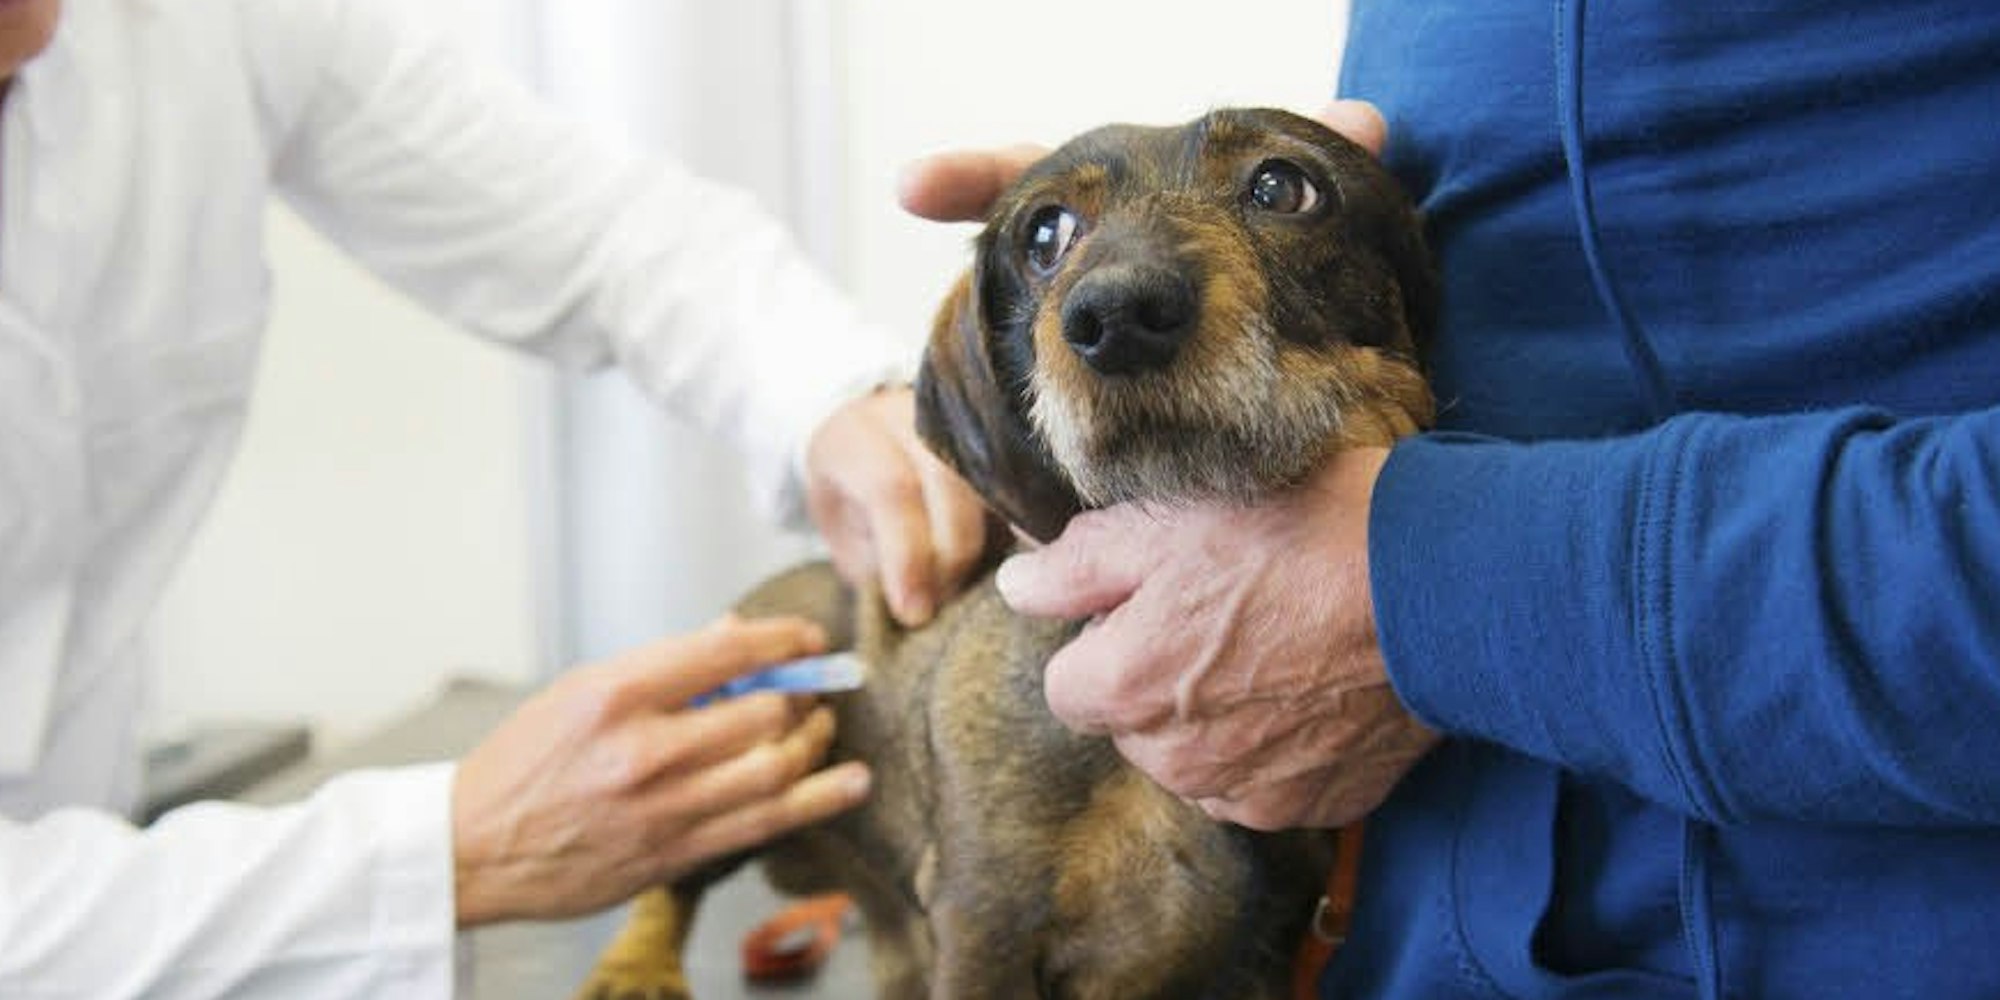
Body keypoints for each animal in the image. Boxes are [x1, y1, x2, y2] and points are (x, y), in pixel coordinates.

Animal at [573, 106, 1436, 1000]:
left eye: (1282, 187)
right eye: (1047, 233)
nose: (1116, 316)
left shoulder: (1262, 952)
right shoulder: (985, 921)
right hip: (748, 757)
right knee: (671, 881)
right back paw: (635, 968)